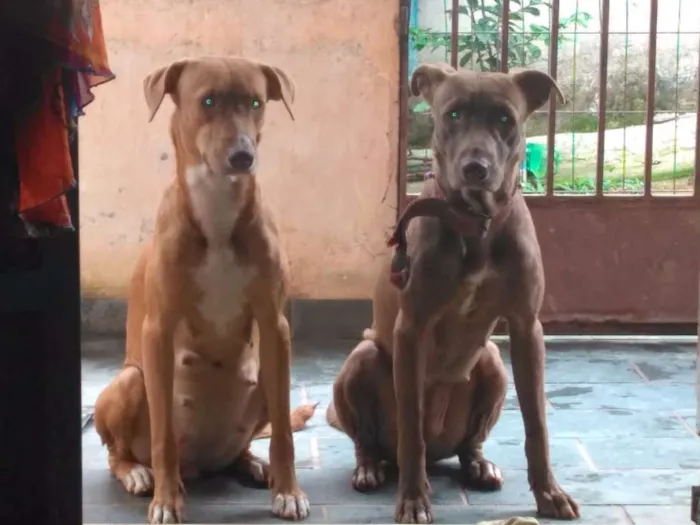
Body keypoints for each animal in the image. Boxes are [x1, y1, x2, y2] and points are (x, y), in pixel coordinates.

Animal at [93, 55, 314, 520]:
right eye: (207, 101)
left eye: (255, 102)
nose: (243, 156)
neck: (217, 209)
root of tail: (203, 464)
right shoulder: (157, 331)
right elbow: (163, 435)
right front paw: (165, 501)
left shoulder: (275, 327)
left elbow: (284, 434)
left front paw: (288, 490)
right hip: (130, 381)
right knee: (118, 452)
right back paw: (138, 473)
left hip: (265, 377)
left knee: (255, 437)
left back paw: (254, 463)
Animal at [328, 63, 580, 520]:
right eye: (453, 115)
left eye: (505, 118)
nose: (475, 167)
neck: (475, 221)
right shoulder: (411, 329)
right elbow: (411, 428)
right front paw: (413, 500)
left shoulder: (526, 327)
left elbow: (536, 422)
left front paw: (549, 493)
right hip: (363, 358)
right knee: (371, 441)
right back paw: (370, 467)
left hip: (492, 361)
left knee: (469, 443)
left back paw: (479, 465)